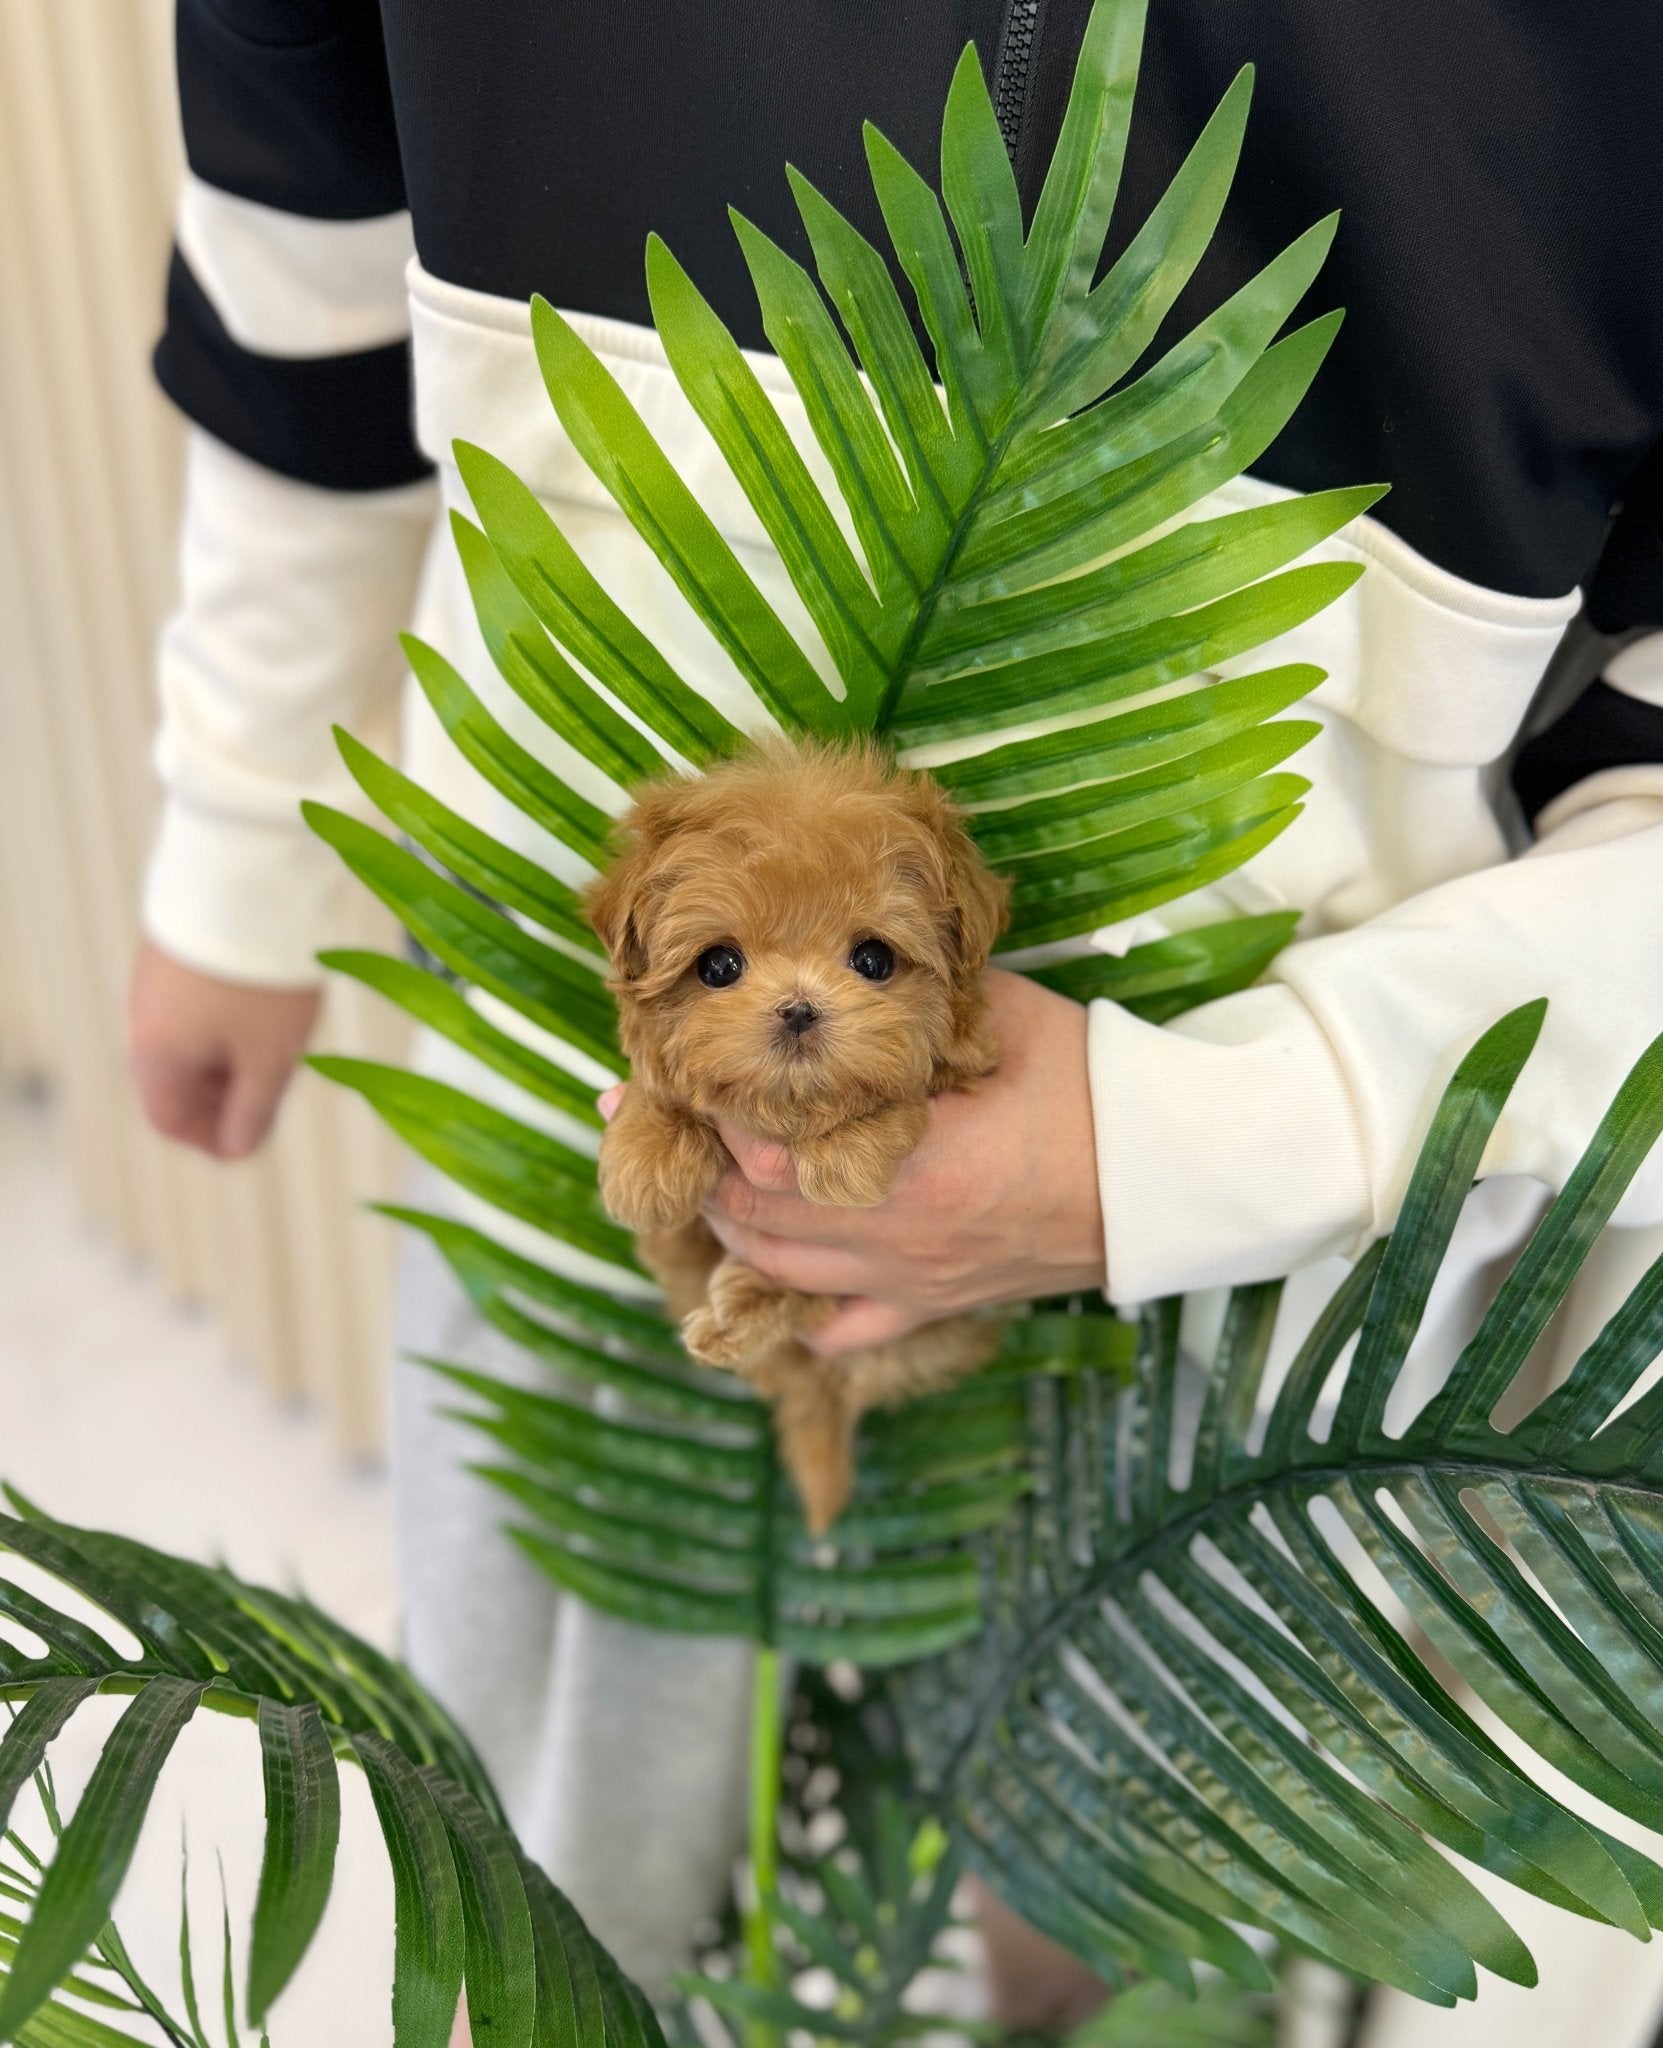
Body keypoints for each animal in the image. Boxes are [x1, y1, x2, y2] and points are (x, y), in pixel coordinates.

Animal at [593, 745, 1011, 1531]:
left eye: (873, 960)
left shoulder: (976, 1063)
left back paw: (742, 1309)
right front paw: (646, 1155)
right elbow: (667, 1092)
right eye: (718, 965)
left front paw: (845, 1151)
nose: (797, 1009)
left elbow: (903, 1097)